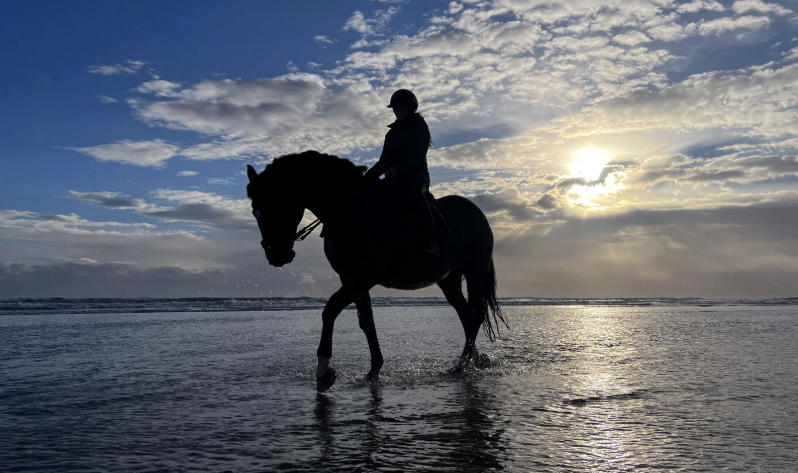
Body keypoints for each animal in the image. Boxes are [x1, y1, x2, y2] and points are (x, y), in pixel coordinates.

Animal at [246, 150, 507, 392]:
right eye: (254, 212)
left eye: (276, 206)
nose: (276, 255)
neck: (351, 212)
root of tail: (476, 212)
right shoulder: (350, 277)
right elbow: (366, 321)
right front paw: (374, 370)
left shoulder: (365, 276)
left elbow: (331, 310)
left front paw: (323, 371)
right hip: (449, 280)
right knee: (465, 313)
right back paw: (472, 360)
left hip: (475, 272)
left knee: (475, 313)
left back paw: (464, 364)